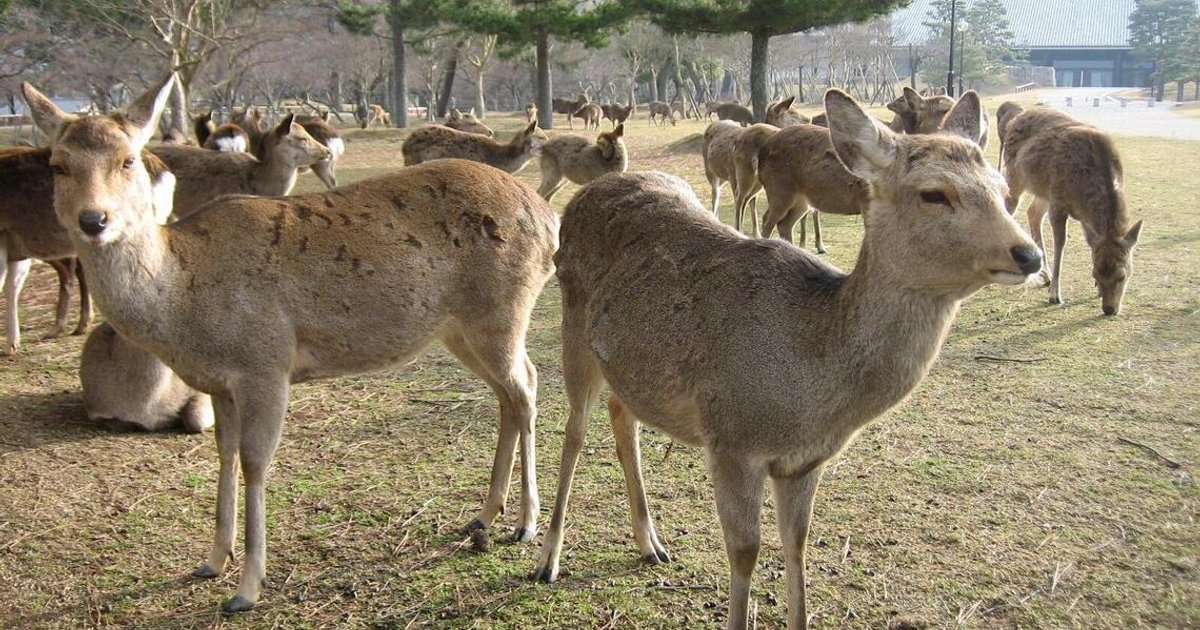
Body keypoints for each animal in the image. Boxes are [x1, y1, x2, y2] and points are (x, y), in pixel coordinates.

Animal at [531, 88, 1044, 630]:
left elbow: (797, 546)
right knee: (574, 431)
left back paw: (650, 543)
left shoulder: (805, 461)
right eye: (934, 193)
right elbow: (745, 553)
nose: (1028, 254)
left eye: (1002, 187)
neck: (810, 393)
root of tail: (588, 193)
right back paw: (547, 558)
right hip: (573, 327)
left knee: (621, 414)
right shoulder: (731, 441)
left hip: (630, 364)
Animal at [1000, 104, 1143, 315]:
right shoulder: (1058, 200)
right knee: (1008, 206)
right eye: (1095, 273)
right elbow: (1060, 242)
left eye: (1122, 276)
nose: (1109, 309)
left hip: (1043, 189)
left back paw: (1045, 274)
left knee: (1033, 213)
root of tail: (1015, 119)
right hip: (1014, 174)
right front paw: (1055, 295)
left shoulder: (1055, 197)